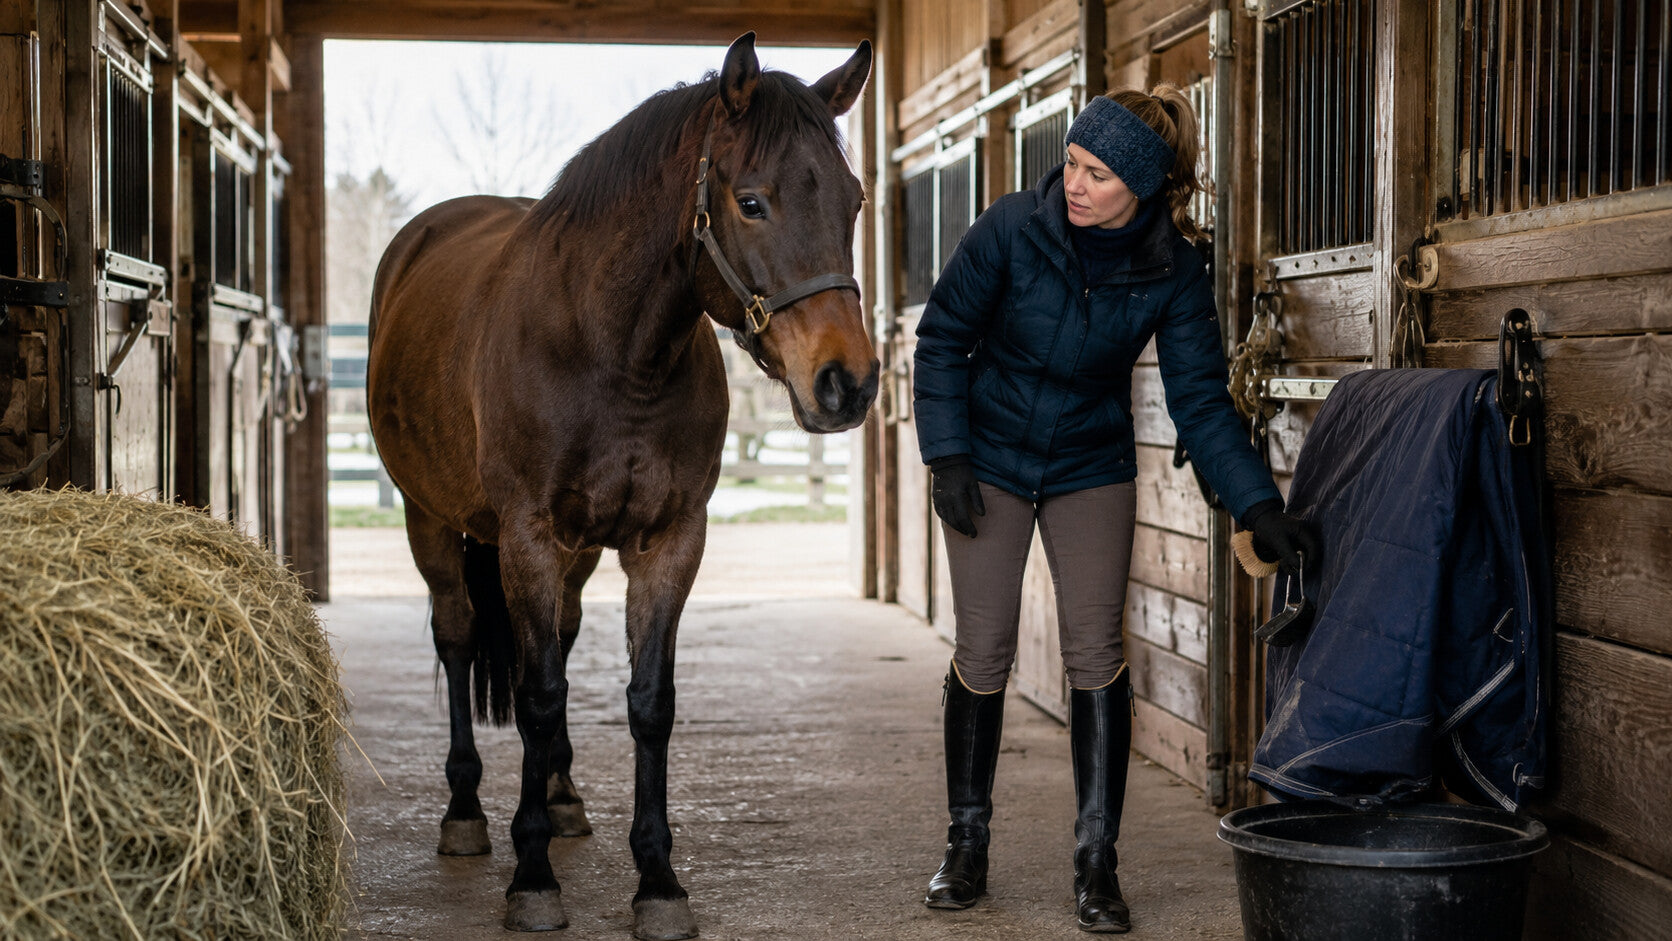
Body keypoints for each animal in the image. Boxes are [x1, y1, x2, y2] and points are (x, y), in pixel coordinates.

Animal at [365, 33, 876, 938]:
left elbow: (647, 701)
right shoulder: (529, 538)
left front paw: (658, 881)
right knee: (457, 639)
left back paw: (563, 795)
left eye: (853, 201)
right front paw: (532, 876)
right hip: (432, 522)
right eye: (752, 202)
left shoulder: (667, 541)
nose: (845, 382)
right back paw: (465, 811)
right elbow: (535, 695)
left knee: (563, 639)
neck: (611, 350)